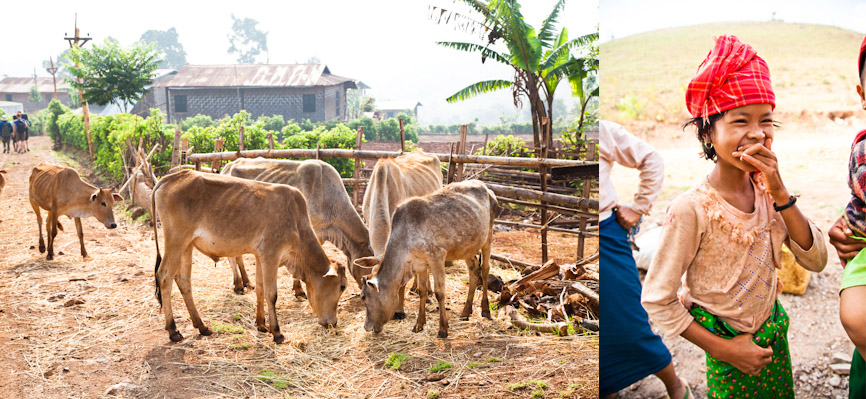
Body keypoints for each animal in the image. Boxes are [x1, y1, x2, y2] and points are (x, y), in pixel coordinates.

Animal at [152, 170, 344, 344]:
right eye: (342, 287)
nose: (333, 323)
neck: (297, 223)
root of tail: (170, 178)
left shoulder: (260, 257)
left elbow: (260, 289)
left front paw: (261, 324)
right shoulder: (271, 256)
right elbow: (271, 294)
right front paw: (277, 332)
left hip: (187, 246)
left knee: (183, 281)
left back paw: (202, 326)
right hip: (176, 241)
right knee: (164, 277)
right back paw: (173, 330)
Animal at [354, 180, 496, 340]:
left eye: (363, 297)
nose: (367, 327)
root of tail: (487, 188)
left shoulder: (437, 256)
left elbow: (440, 292)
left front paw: (443, 329)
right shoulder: (420, 264)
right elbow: (422, 291)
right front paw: (419, 324)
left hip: (488, 235)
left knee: (485, 269)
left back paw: (485, 310)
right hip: (468, 248)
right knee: (473, 271)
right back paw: (466, 312)